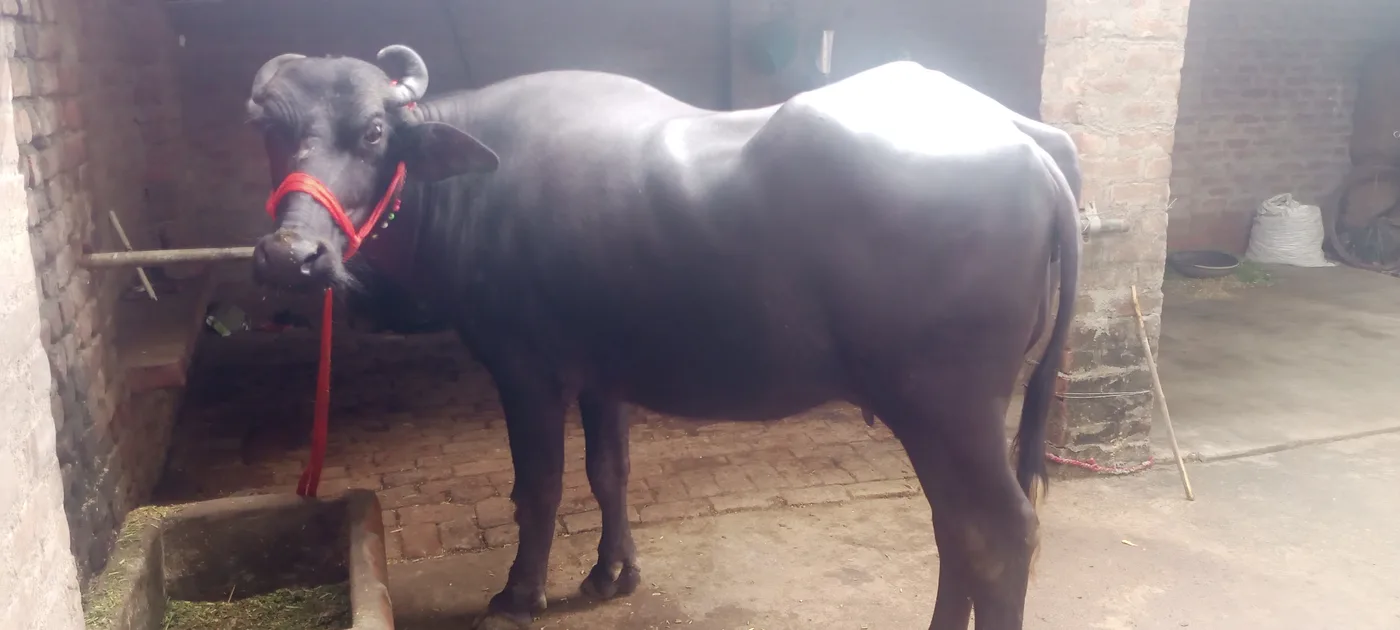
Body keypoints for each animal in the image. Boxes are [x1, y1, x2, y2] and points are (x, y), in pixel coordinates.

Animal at [248, 44, 1080, 630]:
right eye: (271, 131)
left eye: (374, 132)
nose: (293, 256)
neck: (471, 189)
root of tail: (1025, 143)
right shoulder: (602, 372)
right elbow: (608, 472)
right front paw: (611, 574)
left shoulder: (525, 369)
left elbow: (539, 485)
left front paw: (518, 595)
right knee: (956, 528)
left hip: (950, 406)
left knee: (1000, 534)